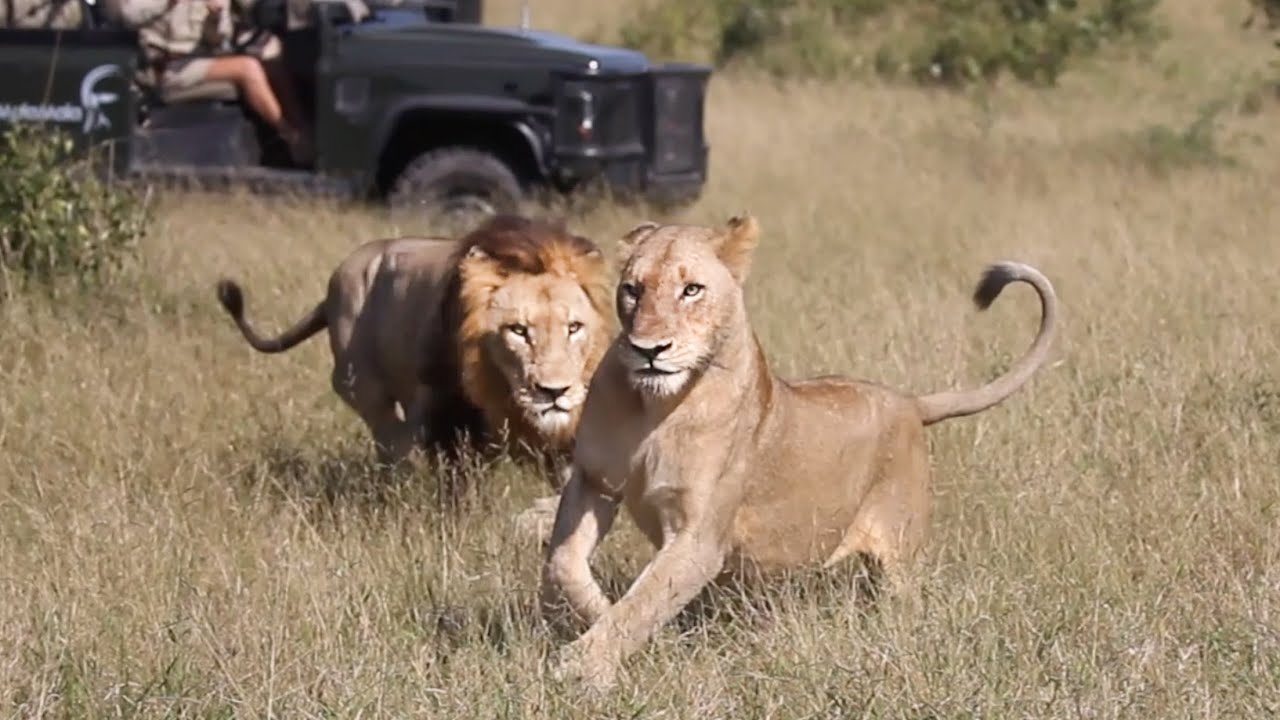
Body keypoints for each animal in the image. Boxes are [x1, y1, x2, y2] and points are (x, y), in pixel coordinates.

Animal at [215, 214, 614, 473]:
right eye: (517, 330)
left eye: (574, 328)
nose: (554, 391)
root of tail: (331, 290)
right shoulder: (446, 416)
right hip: (361, 383)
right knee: (393, 442)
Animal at [539, 214, 1059, 690]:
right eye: (632, 289)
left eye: (692, 290)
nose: (649, 349)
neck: (655, 406)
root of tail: (909, 402)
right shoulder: (593, 479)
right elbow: (565, 564)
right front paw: (595, 615)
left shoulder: (699, 537)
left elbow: (644, 602)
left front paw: (585, 665)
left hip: (901, 558)